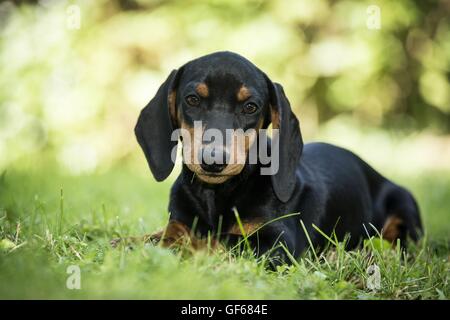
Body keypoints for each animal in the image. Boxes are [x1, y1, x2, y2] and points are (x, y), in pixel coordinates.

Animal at [130, 50, 422, 264]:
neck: (217, 194)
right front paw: (134, 242)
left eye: (250, 107)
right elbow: (169, 232)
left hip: (403, 205)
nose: (213, 161)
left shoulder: (278, 243)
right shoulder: (180, 219)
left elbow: (217, 239)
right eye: (192, 99)